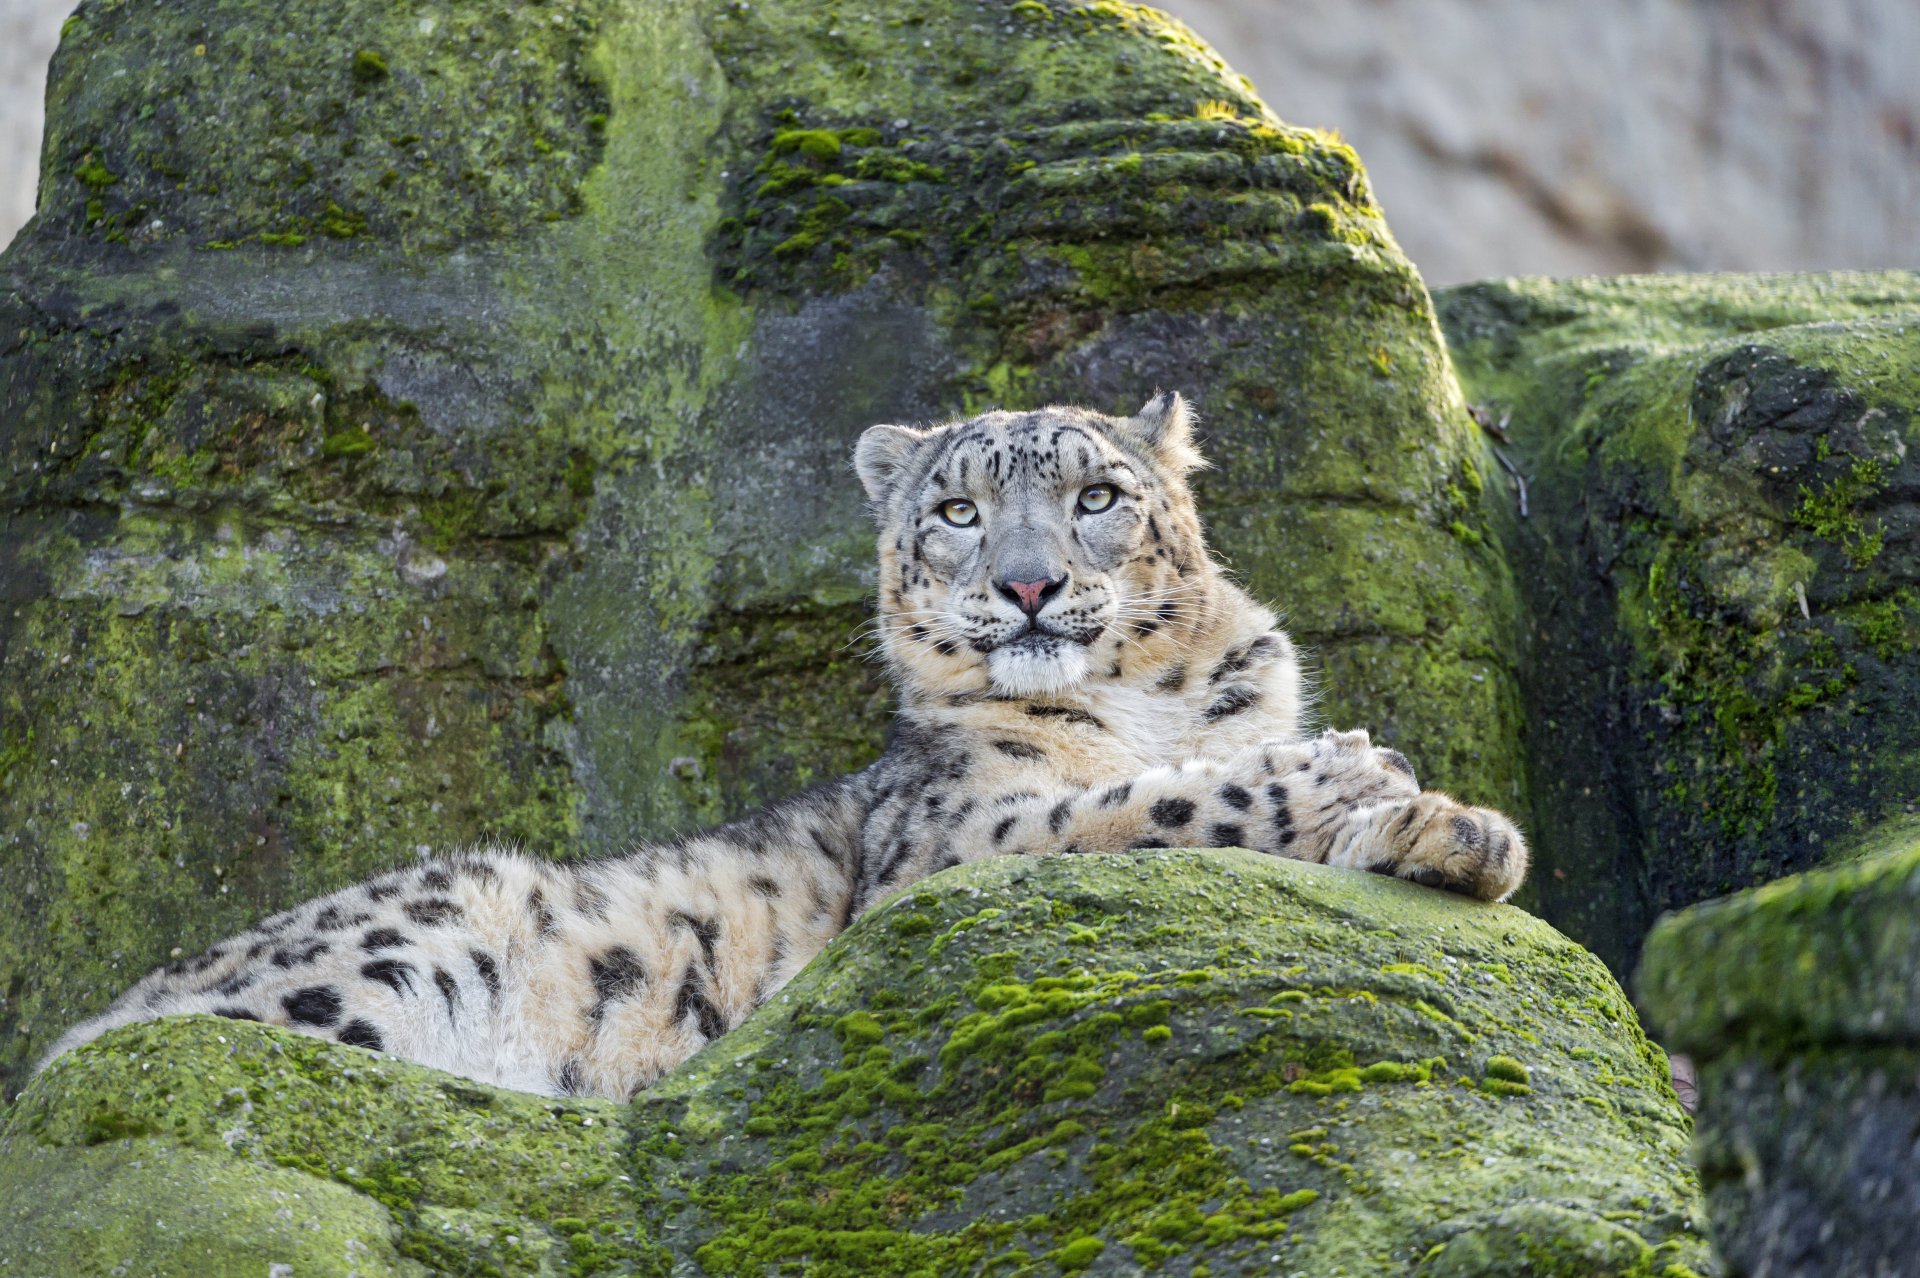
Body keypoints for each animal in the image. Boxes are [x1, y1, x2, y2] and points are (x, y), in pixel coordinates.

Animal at [39, 393, 1527, 1100]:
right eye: (956, 510)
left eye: (1098, 495)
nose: (1030, 584)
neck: (1147, 701)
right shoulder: (955, 838)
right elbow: (1143, 806)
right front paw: (1344, 771)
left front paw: (1452, 828)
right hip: (403, 945)